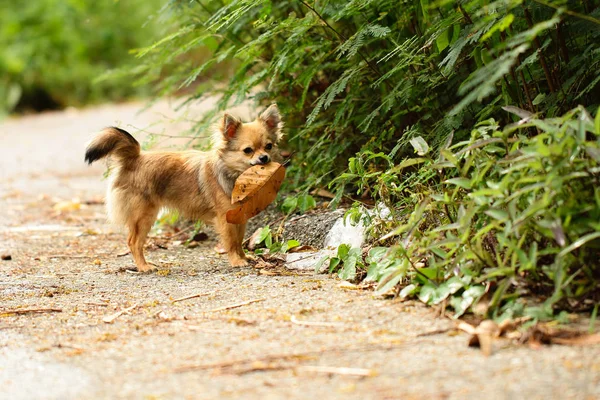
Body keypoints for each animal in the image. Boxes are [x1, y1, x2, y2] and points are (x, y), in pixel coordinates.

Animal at [84, 104, 284, 272]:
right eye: (248, 150)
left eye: (268, 146)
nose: (264, 158)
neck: (239, 178)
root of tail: (134, 158)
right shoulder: (225, 219)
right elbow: (231, 242)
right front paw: (236, 261)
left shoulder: (239, 218)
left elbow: (239, 240)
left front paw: (244, 257)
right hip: (144, 216)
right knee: (134, 242)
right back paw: (144, 267)